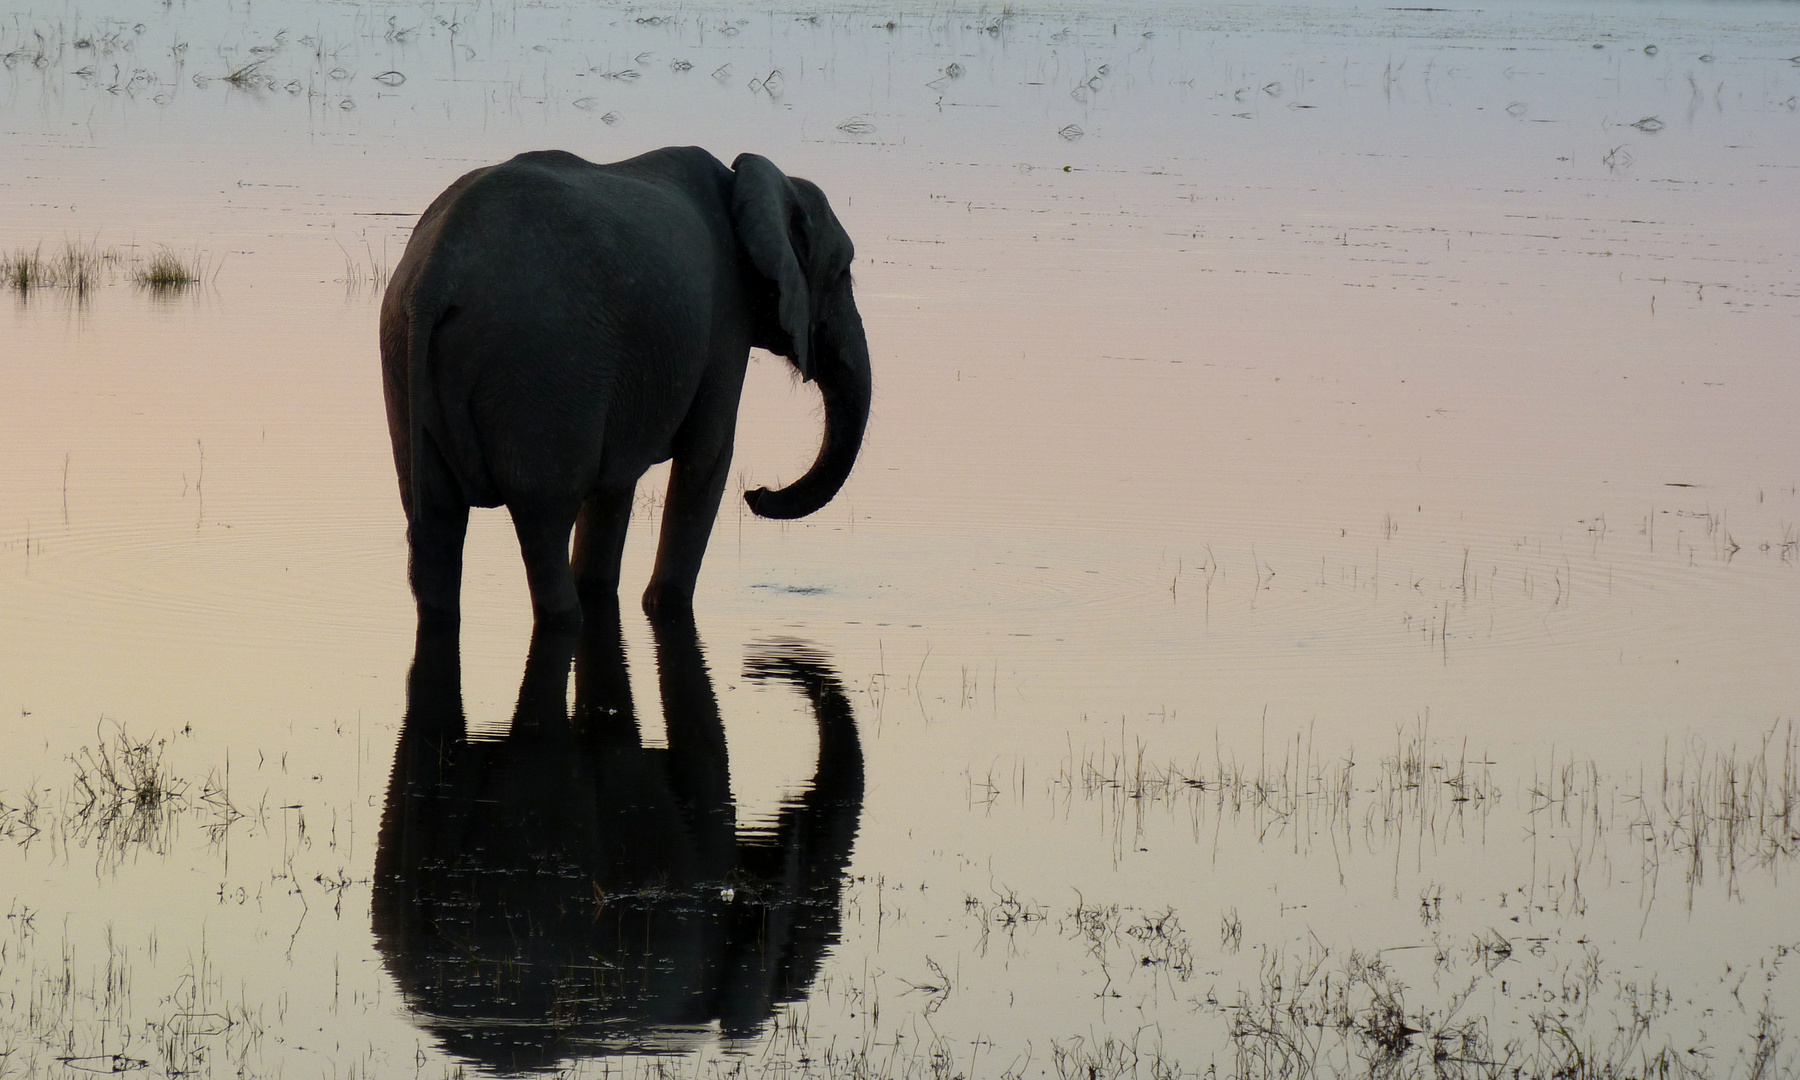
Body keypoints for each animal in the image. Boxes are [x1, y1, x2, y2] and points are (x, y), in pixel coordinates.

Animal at [383, 147, 874, 630]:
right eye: (844, 273)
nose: (756, 495)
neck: (752, 181)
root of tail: (435, 275)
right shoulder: (726, 322)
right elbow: (709, 457)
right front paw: (664, 603)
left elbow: (616, 482)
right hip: (541, 370)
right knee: (543, 524)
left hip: (406, 357)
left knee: (434, 521)